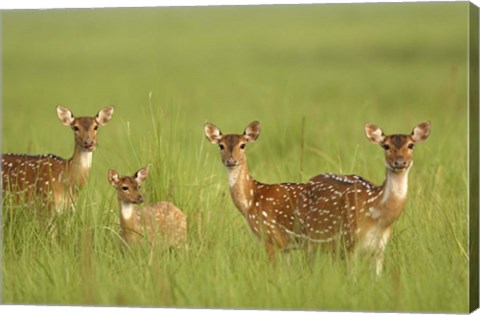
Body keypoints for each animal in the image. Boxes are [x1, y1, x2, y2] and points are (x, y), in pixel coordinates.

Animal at [202, 121, 308, 260]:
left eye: (243, 145)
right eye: (221, 145)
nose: (231, 160)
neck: (250, 202)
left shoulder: (271, 237)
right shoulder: (286, 248)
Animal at [292, 122, 432, 276]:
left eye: (411, 145)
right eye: (386, 146)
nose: (400, 162)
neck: (377, 216)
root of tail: (310, 181)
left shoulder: (380, 248)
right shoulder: (349, 241)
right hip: (306, 236)